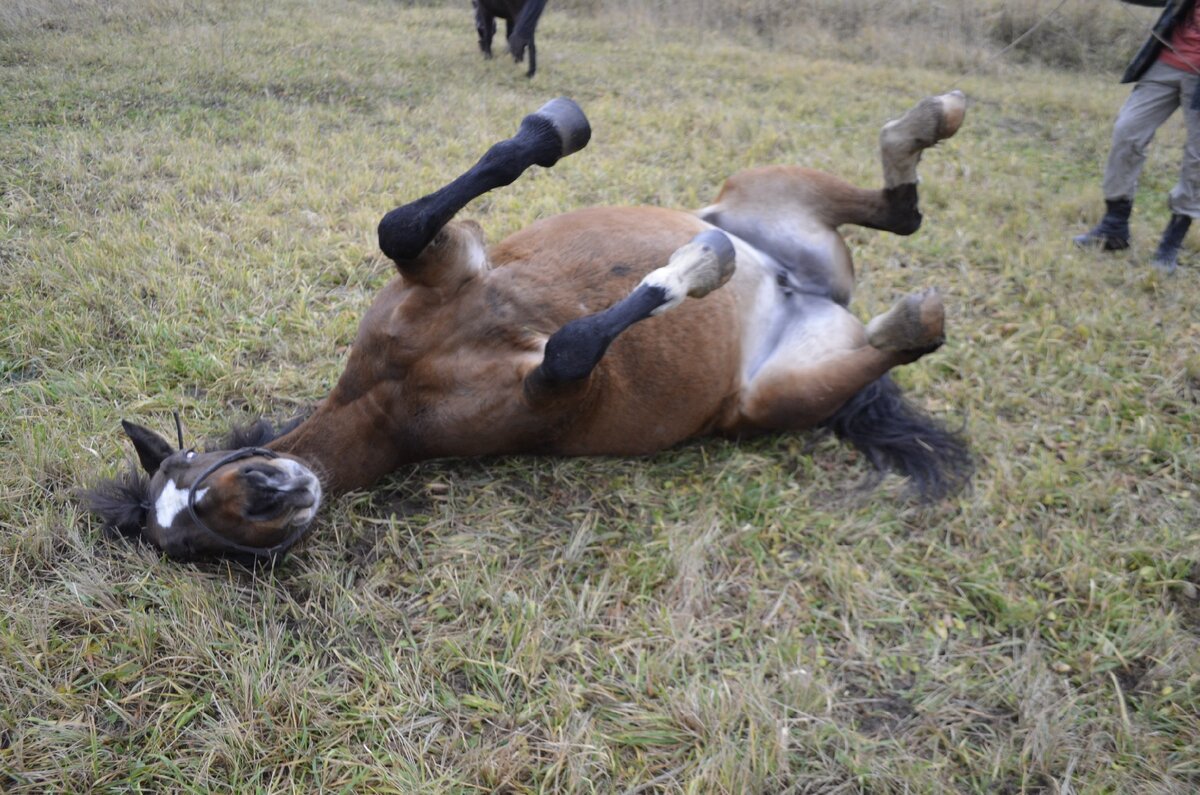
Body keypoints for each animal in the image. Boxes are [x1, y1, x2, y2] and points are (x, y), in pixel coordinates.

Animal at [84, 93, 969, 564]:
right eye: (195, 547)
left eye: (195, 465)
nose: (274, 490)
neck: (391, 397)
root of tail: (808, 291)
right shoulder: (558, 388)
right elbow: (575, 342)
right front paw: (696, 271)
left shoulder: (447, 261)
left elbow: (401, 222)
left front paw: (555, 128)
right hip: (781, 395)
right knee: (910, 319)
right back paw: (907, 302)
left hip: (760, 185)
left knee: (903, 216)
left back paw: (928, 121)